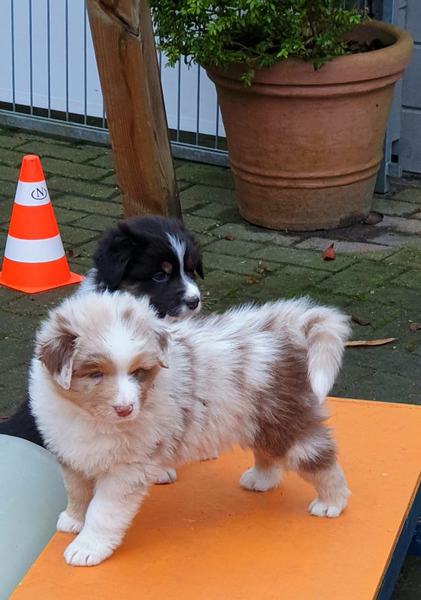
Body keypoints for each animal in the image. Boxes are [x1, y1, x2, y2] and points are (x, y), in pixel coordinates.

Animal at [30, 291, 351, 567]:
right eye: (95, 373)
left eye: (138, 372)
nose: (125, 409)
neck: (88, 416)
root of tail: (283, 328)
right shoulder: (70, 452)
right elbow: (76, 490)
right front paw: (73, 519)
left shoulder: (126, 469)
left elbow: (103, 511)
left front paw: (87, 548)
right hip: (260, 419)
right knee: (267, 451)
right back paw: (261, 479)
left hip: (288, 422)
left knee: (320, 460)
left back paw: (331, 502)